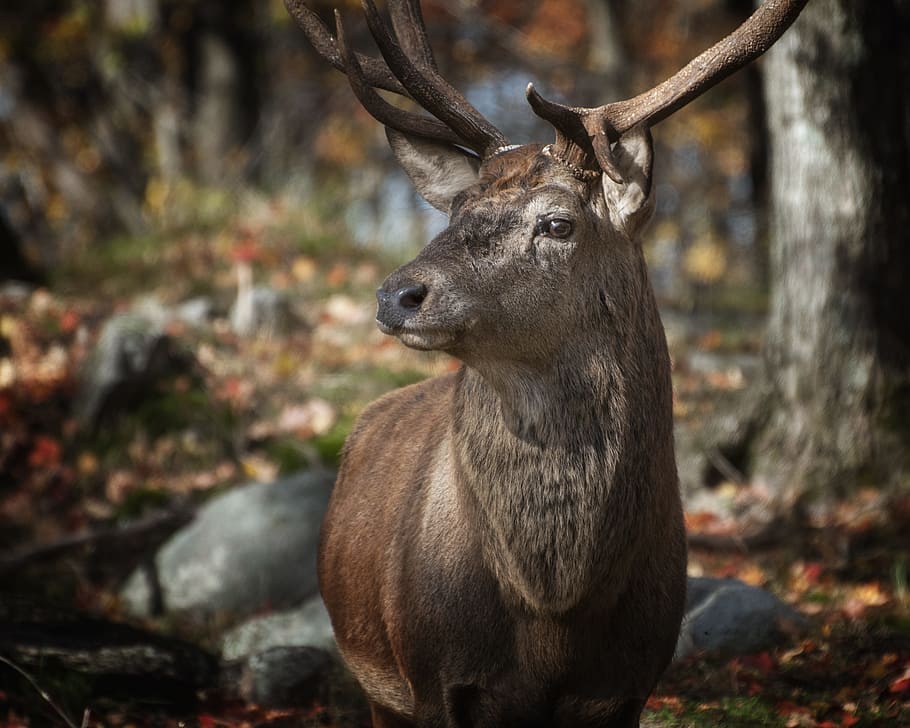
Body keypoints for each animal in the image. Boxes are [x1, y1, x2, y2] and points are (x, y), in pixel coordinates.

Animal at [284, 2, 804, 724]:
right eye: (455, 211)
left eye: (558, 223)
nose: (397, 294)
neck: (554, 616)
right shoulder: (431, 677)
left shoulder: (630, 682)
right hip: (373, 680)